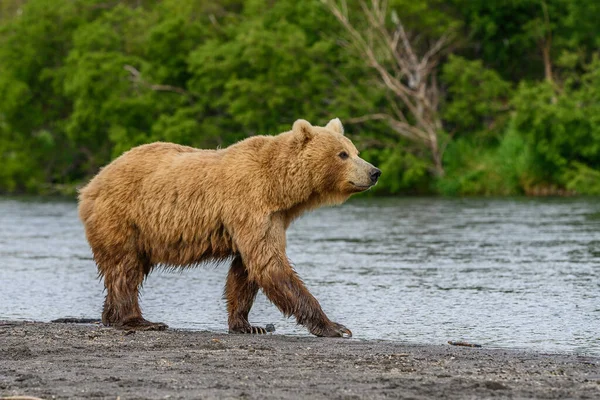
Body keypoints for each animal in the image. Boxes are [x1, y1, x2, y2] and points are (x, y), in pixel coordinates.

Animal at [78, 119, 380, 338]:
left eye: (356, 151)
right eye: (342, 154)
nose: (374, 172)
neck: (279, 188)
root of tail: (92, 183)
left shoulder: (271, 218)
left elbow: (246, 270)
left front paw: (247, 324)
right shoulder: (248, 203)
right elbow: (269, 264)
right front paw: (335, 327)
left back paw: (110, 316)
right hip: (124, 217)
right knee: (125, 269)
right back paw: (138, 320)